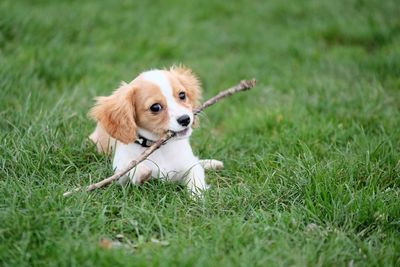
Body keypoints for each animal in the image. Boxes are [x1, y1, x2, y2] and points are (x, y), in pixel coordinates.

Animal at [88, 66, 223, 197]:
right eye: (155, 107)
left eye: (182, 95)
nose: (185, 119)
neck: (159, 147)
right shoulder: (119, 176)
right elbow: (127, 167)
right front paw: (140, 171)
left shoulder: (190, 166)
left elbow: (196, 177)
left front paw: (196, 197)